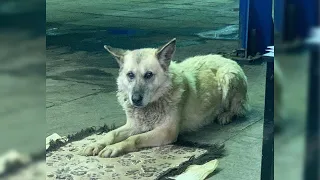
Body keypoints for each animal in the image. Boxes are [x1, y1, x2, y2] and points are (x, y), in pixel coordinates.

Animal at [79, 38, 248, 158]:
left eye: (148, 75)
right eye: (130, 75)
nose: (135, 99)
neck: (154, 102)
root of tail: (225, 58)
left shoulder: (166, 131)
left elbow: (134, 139)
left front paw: (114, 147)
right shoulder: (133, 125)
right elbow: (111, 133)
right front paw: (97, 144)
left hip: (228, 76)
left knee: (238, 109)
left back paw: (225, 115)